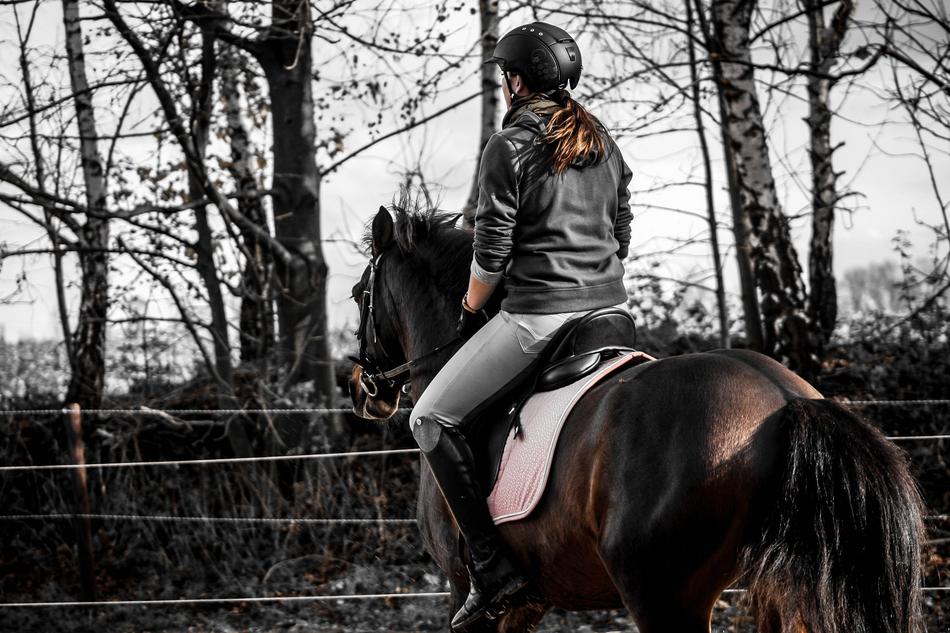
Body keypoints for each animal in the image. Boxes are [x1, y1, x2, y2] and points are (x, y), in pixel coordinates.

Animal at [347, 201, 924, 633]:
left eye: (357, 295)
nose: (358, 388)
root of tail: (784, 398)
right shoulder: (528, 605)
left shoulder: (469, 595)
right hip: (772, 590)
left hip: (662, 595)